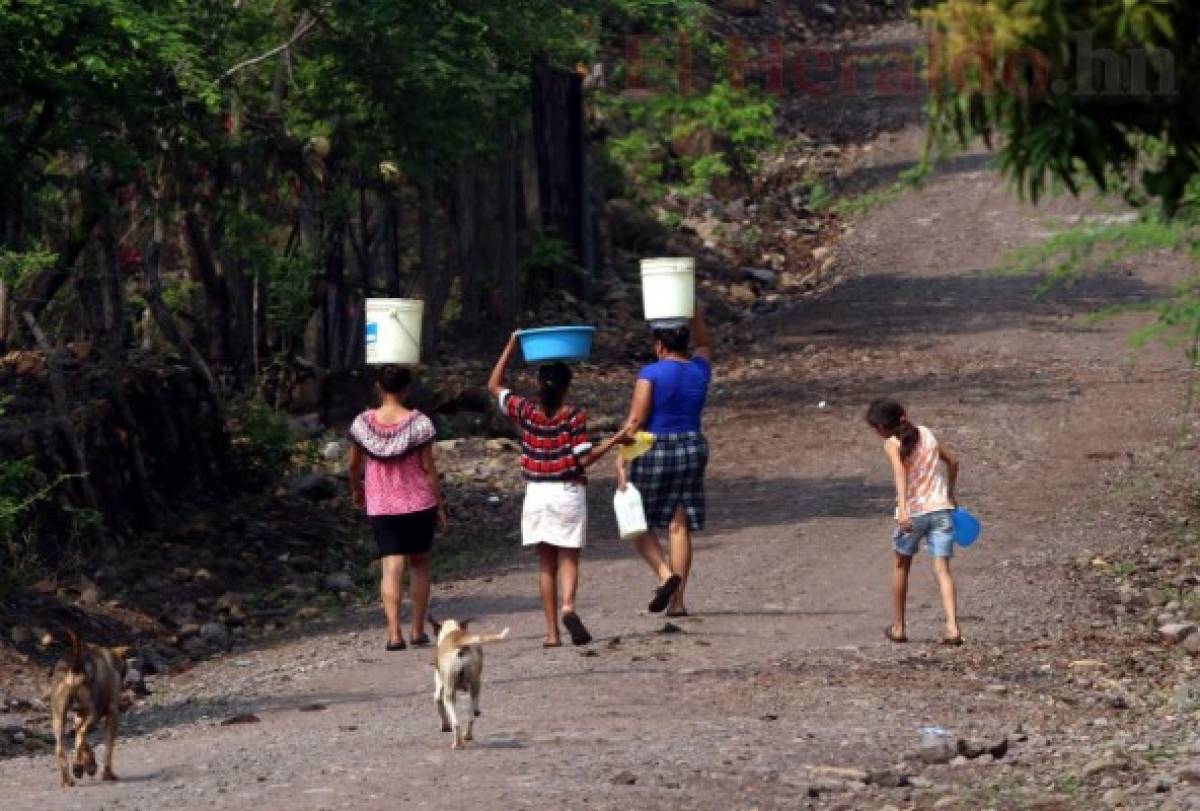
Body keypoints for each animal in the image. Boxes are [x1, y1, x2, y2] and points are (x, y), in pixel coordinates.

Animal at [48, 628, 130, 787]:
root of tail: (75, 667)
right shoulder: (112, 714)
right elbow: (108, 748)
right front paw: (107, 773)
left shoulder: (79, 716)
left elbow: (82, 743)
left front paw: (90, 763)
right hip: (94, 712)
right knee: (80, 734)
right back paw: (77, 767)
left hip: (59, 716)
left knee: (61, 747)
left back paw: (68, 779)